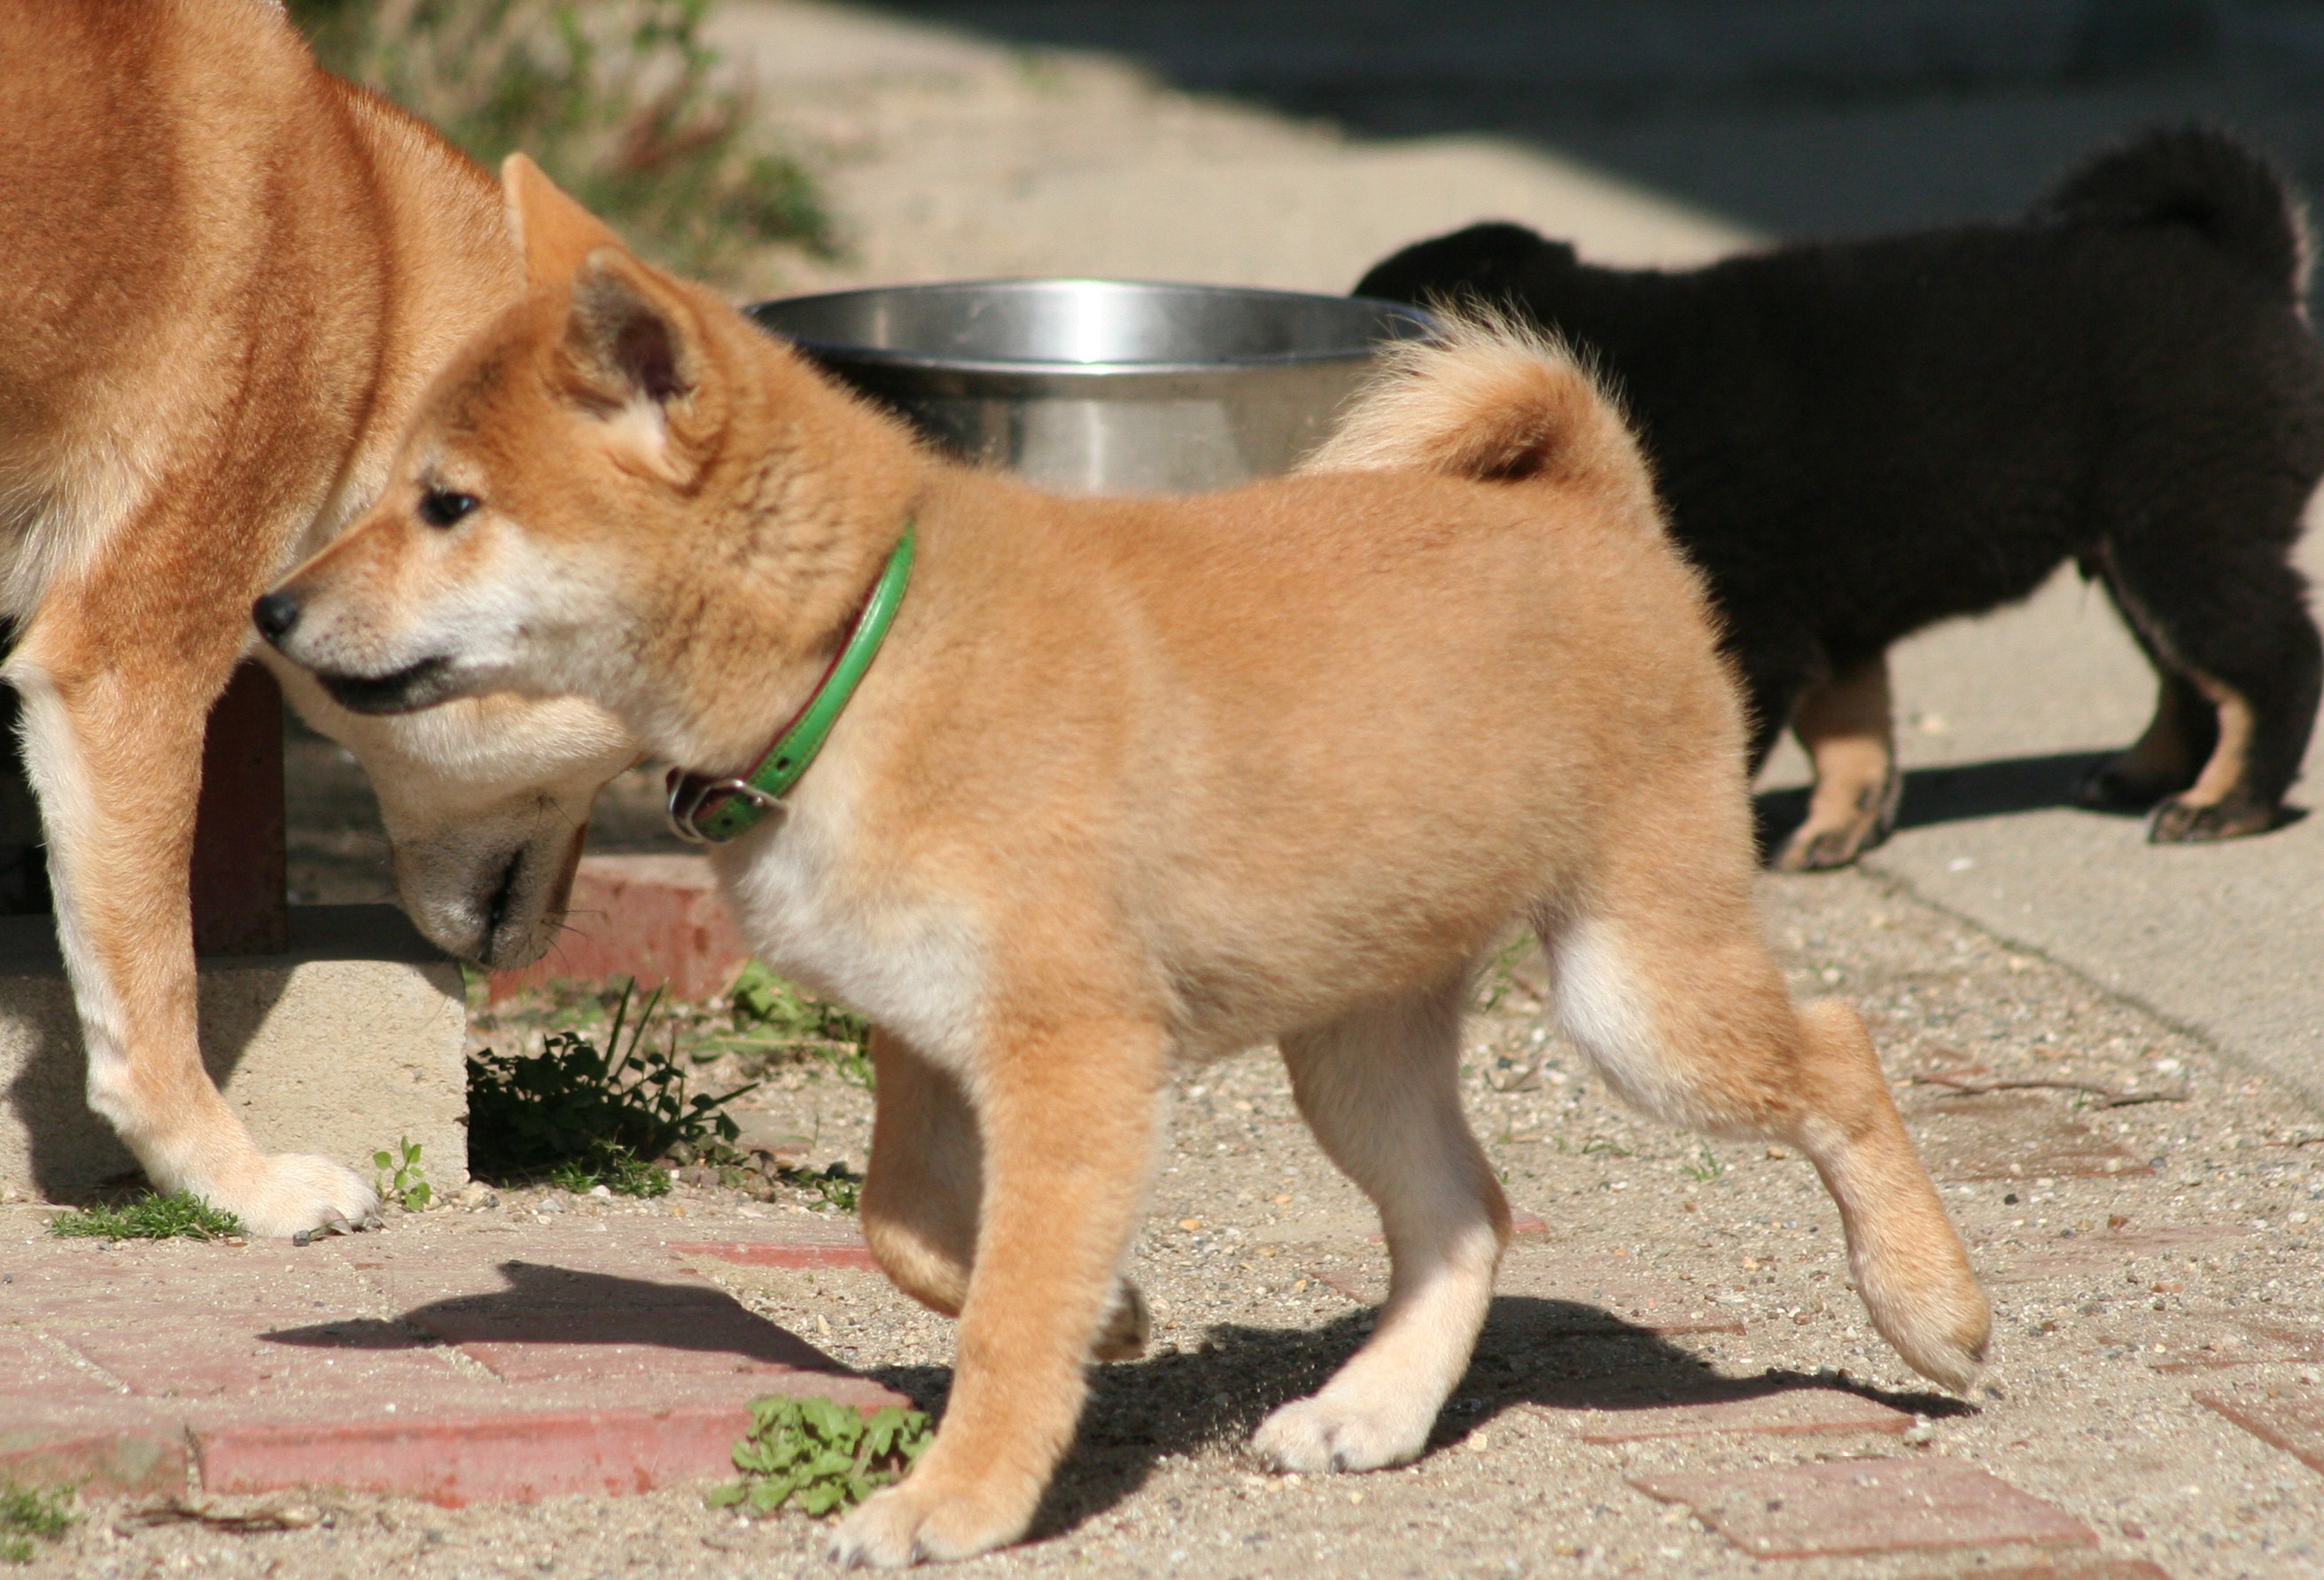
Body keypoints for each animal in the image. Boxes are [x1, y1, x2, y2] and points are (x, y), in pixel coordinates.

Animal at [259, 154, 1998, 1561]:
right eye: (398, 489)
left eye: (446, 504)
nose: (272, 608)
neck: (863, 652)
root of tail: (1592, 517)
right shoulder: (929, 1040)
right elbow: (912, 1230)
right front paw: (1117, 1313)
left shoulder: (1072, 1055)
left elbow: (1006, 1309)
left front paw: (956, 1498)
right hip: (1351, 1047)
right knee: (1465, 1214)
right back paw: (1369, 1410)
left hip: (1635, 999)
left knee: (1835, 1050)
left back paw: (1928, 1305)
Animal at [1356, 128, 2324, 868]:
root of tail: (2245, 263)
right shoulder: (1828, 620)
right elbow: (1850, 735)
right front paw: (1838, 830)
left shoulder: (1753, 626)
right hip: (2136, 544)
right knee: (2191, 673)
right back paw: (2146, 774)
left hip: (2184, 523)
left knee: (2269, 662)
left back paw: (2225, 803)